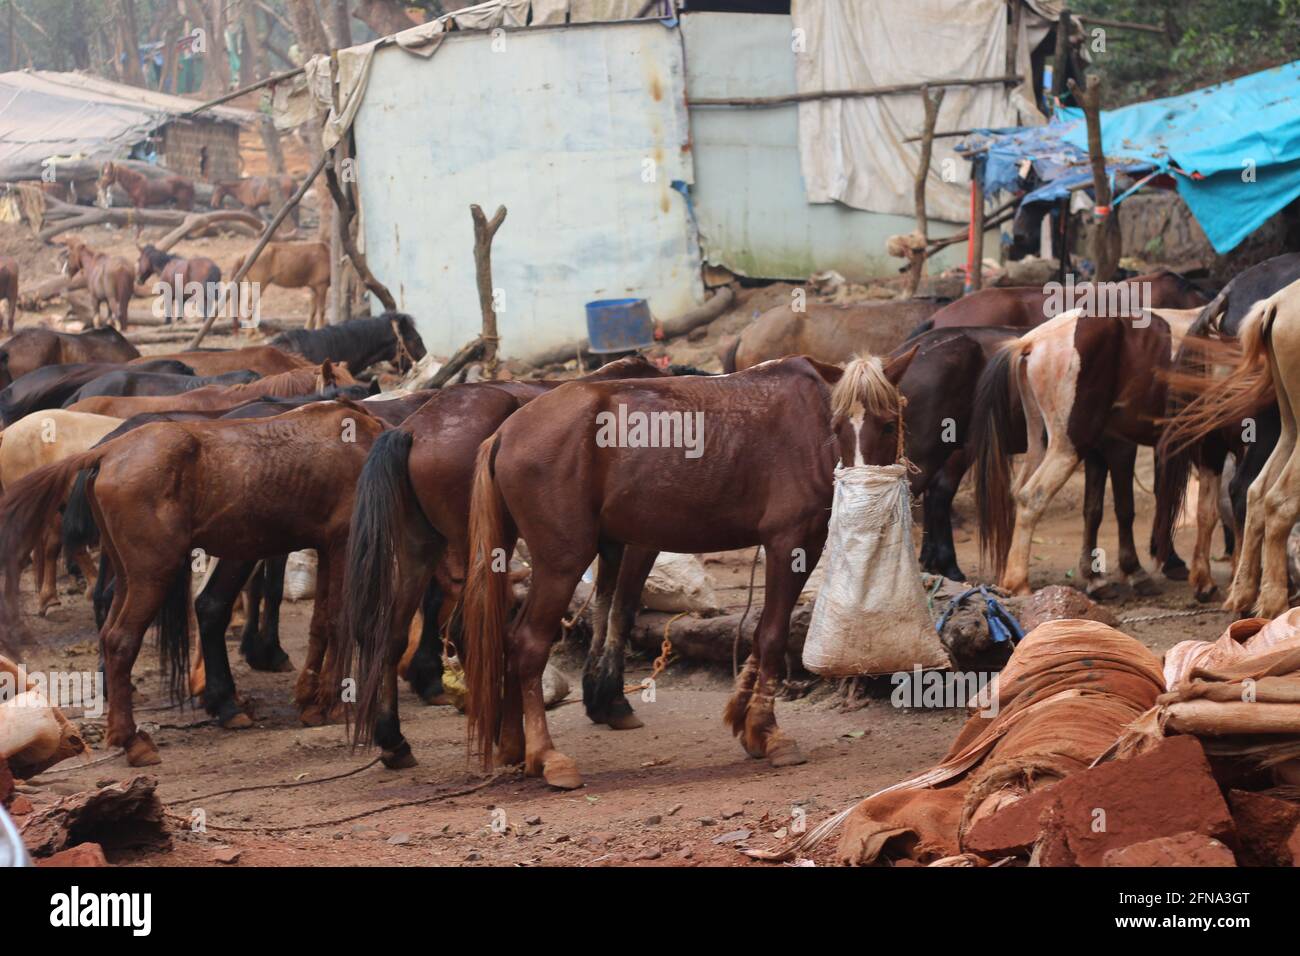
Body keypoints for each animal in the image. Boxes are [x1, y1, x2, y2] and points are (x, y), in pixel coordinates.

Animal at [0, 400, 384, 764]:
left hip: (129, 577)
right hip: (153, 575)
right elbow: (338, 621)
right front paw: (329, 702)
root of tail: (108, 452)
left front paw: (311, 699)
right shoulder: (342, 542)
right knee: (122, 641)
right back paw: (133, 741)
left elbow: (321, 622)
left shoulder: (326, 546)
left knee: (109, 634)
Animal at [457, 356, 915, 790]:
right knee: (529, 644)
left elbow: (760, 633)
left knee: (510, 638)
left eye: (888, 424)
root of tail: (505, 432)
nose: (861, 492)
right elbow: (772, 636)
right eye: (836, 427)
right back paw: (546, 755)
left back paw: (514, 745)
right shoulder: (792, 542)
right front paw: (768, 731)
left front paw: (748, 726)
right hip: (562, 563)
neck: (806, 419)